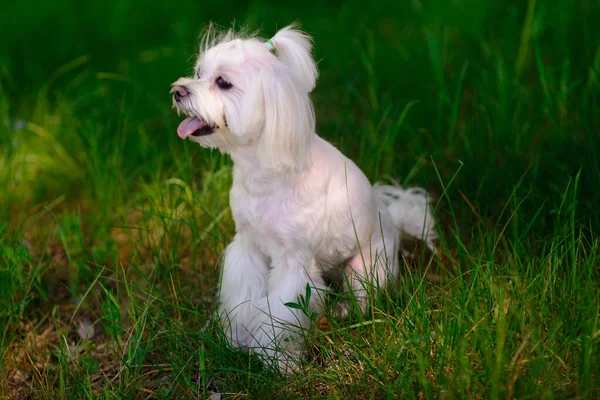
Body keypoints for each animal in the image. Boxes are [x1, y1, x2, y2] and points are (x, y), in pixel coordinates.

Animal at [171, 25, 438, 374]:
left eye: (224, 82)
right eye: (199, 73)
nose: (178, 90)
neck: (265, 172)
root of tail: (393, 218)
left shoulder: (293, 264)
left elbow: (279, 317)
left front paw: (278, 361)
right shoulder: (248, 247)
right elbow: (243, 299)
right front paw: (235, 339)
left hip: (366, 267)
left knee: (363, 298)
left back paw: (343, 311)